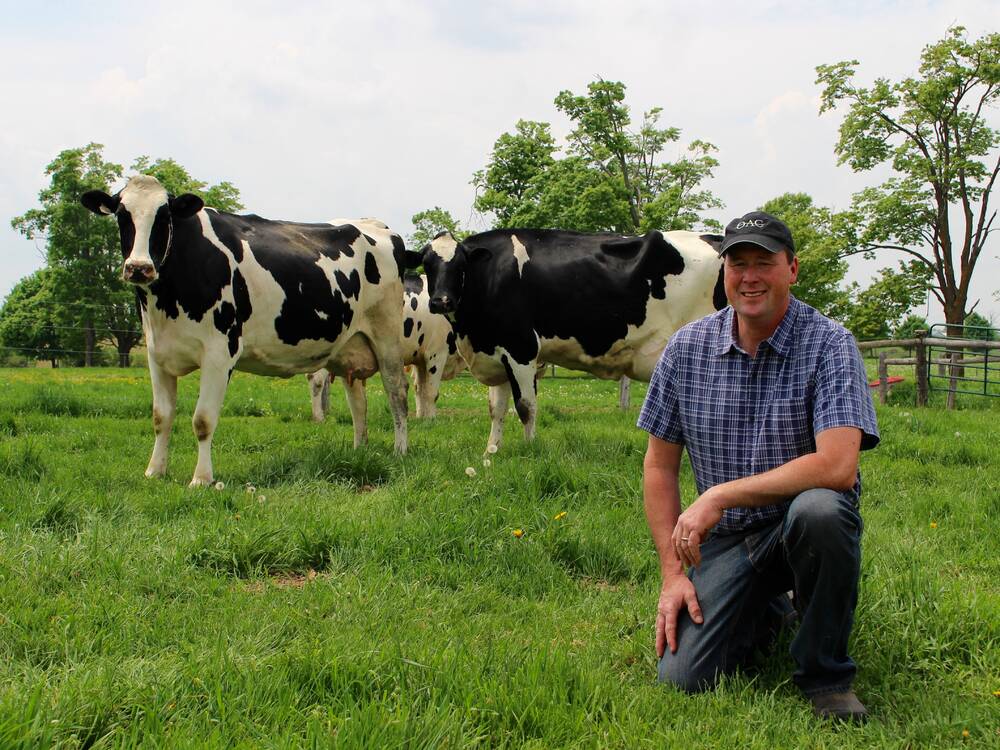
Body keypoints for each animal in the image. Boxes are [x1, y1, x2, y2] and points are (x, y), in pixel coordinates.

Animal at [81, 176, 410, 488]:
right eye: (122, 215)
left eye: (163, 217)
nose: (139, 267)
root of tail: (377, 225)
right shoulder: (156, 354)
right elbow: (161, 416)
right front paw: (154, 471)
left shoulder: (219, 352)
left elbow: (203, 420)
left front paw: (201, 479)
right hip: (349, 346)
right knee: (358, 402)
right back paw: (359, 450)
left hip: (387, 339)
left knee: (397, 393)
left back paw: (400, 451)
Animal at [304, 272, 464, 426]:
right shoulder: (436, 353)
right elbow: (431, 392)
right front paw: (431, 420)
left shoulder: (420, 358)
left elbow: (420, 389)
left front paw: (422, 418)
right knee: (316, 380)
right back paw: (319, 417)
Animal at [406, 229, 728, 452]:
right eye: (427, 264)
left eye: (460, 265)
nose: (441, 301)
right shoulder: (497, 352)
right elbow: (496, 409)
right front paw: (491, 453)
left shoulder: (521, 349)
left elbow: (525, 406)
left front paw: (530, 450)